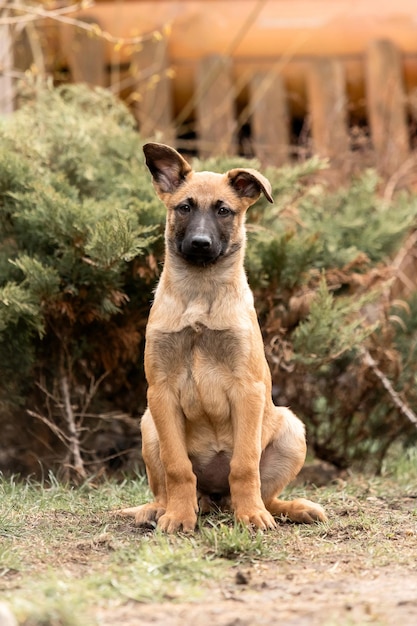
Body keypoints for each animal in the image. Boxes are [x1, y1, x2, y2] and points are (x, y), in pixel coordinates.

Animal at [122, 143, 326, 532]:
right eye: (184, 207)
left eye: (223, 210)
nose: (200, 244)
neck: (201, 294)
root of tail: (216, 499)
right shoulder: (161, 392)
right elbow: (178, 467)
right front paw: (179, 517)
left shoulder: (247, 390)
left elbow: (244, 466)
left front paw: (251, 517)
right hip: (149, 424)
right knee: (168, 488)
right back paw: (160, 510)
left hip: (291, 430)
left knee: (265, 494)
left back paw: (286, 508)